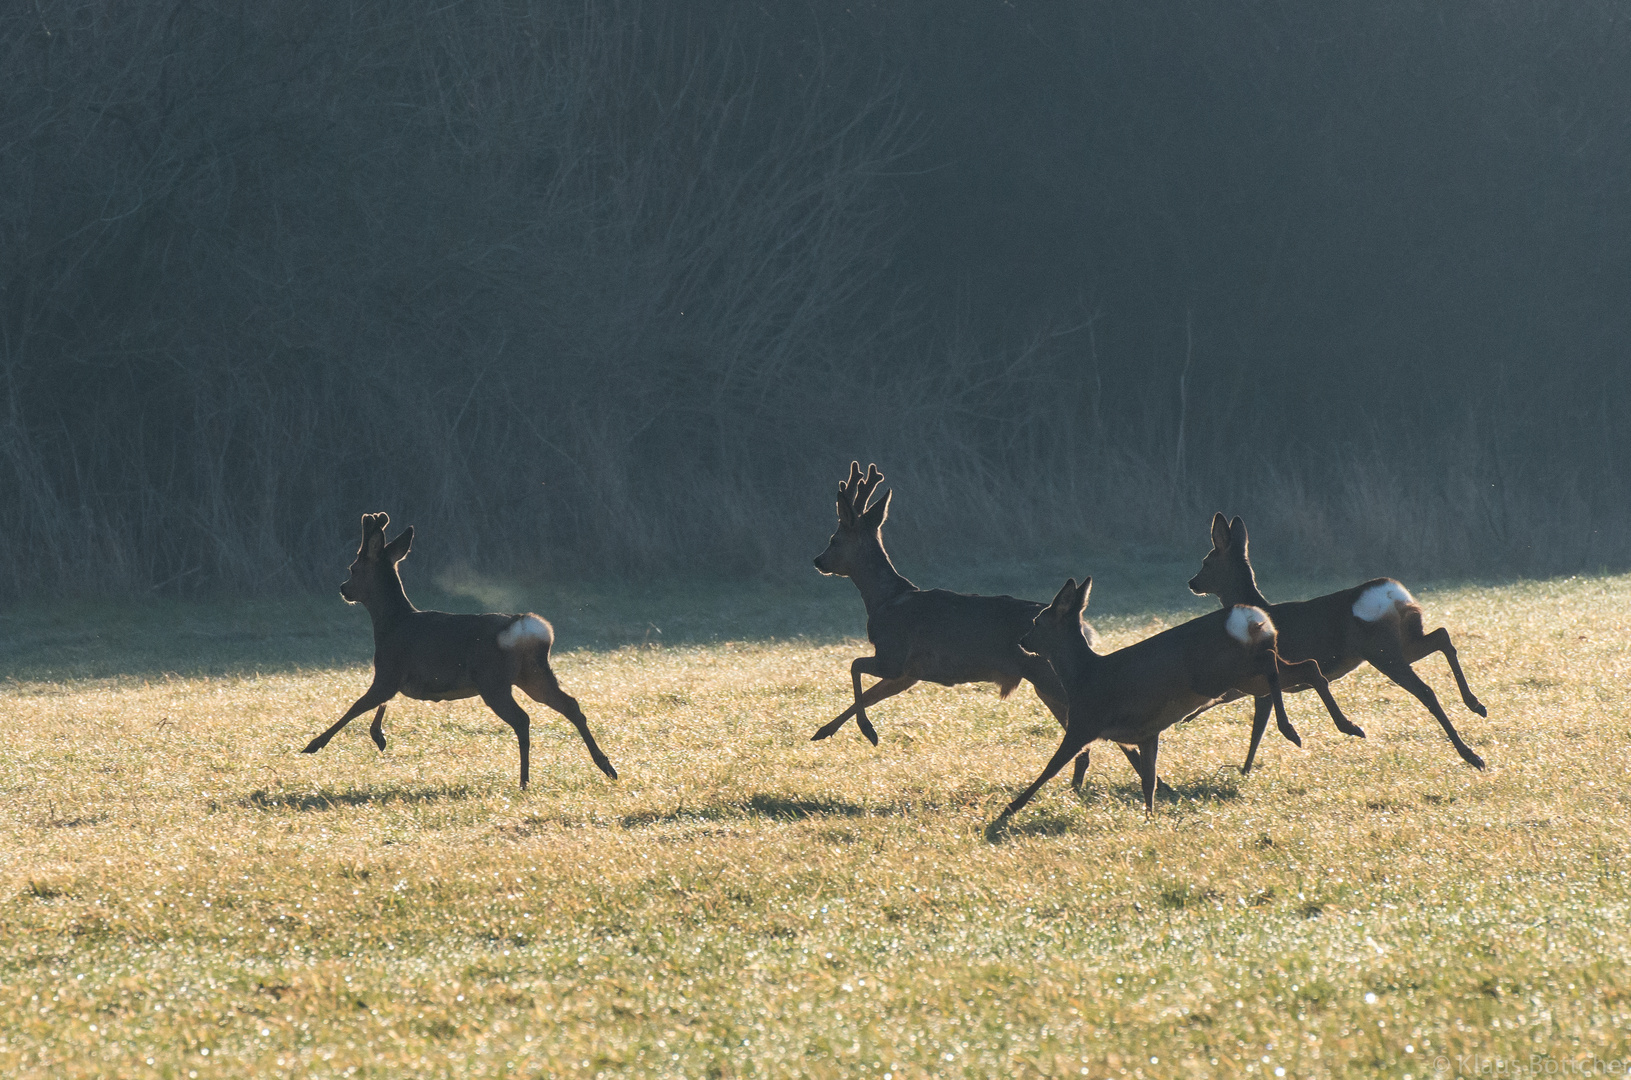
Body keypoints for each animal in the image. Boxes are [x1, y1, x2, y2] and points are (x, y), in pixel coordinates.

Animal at [300, 512, 616, 792]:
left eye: (353, 568)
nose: (343, 589)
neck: (390, 623)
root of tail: (524, 627)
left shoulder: (389, 670)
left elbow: (356, 706)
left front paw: (314, 744)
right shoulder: (396, 677)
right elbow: (378, 705)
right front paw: (379, 737)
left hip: (492, 680)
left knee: (523, 719)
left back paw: (525, 781)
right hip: (533, 674)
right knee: (571, 705)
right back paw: (606, 766)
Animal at [808, 460, 1089, 783]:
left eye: (834, 540)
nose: (818, 561)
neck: (885, 599)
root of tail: (1083, 625)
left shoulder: (893, 655)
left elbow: (854, 667)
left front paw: (868, 732)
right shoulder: (908, 673)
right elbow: (868, 696)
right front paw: (824, 731)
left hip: (1047, 675)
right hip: (1045, 682)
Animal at [991, 574, 1350, 822]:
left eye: (1036, 622)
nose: (1023, 640)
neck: (1082, 676)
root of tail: (1249, 619)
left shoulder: (1084, 722)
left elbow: (1050, 767)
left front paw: (1009, 810)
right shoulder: (1147, 733)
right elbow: (1148, 779)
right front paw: (1150, 818)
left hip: (1222, 673)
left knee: (1277, 664)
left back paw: (1292, 729)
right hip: (1244, 674)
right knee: (1307, 666)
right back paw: (1347, 726)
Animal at [1187, 515, 1493, 773]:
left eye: (1206, 562)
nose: (1192, 583)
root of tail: (1392, 594)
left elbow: (1257, 721)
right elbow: (1256, 728)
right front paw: (1244, 771)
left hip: (1381, 650)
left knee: (1426, 690)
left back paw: (1471, 754)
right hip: (1403, 644)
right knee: (1441, 634)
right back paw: (1475, 705)